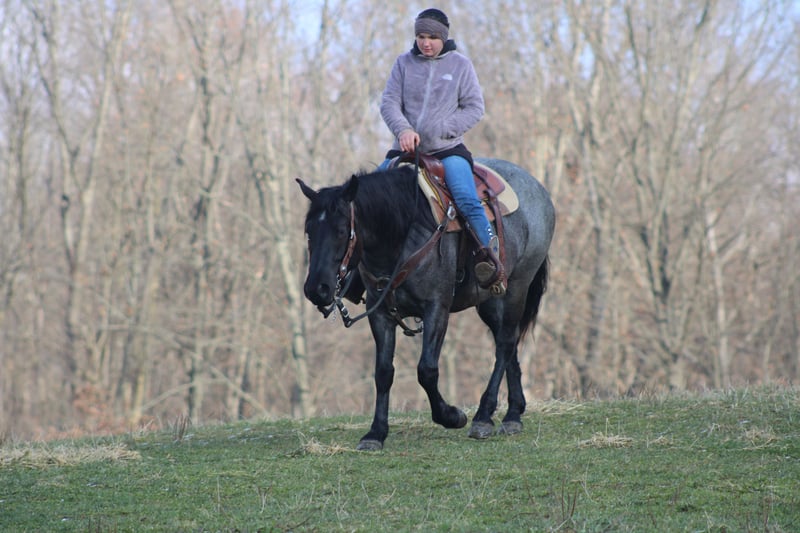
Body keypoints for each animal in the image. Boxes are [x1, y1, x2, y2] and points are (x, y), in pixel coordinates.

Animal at [297, 157, 555, 450]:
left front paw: (451, 416)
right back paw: (513, 413)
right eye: (309, 231)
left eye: (341, 231)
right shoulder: (380, 315)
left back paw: (484, 416)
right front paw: (375, 433)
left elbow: (427, 370)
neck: (401, 236)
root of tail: (538, 189)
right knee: (507, 343)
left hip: (517, 288)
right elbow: (383, 372)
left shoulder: (436, 309)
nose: (317, 289)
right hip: (489, 300)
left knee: (505, 344)